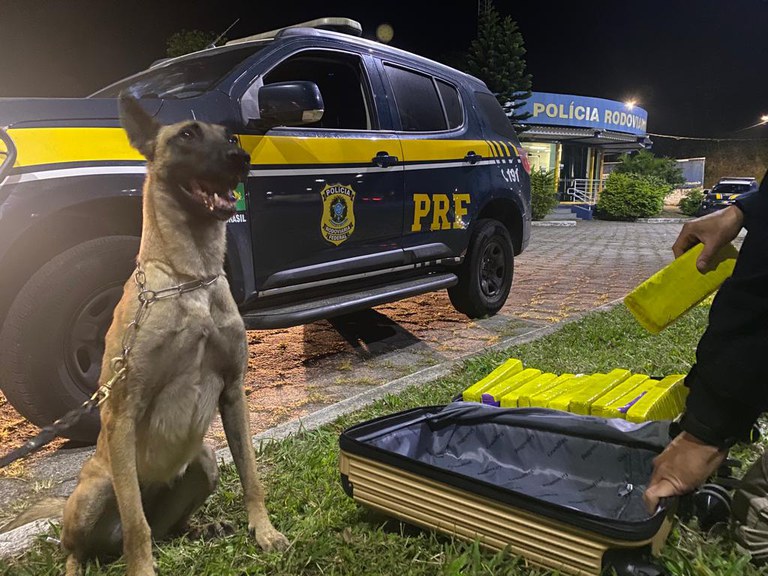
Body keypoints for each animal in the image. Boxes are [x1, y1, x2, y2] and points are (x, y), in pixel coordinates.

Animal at [57, 97, 286, 572]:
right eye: (187, 135)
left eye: (231, 135)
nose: (241, 158)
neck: (191, 278)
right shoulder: (122, 412)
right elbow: (136, 525)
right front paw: (142, 569)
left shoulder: (233, 393)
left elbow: (251, 476)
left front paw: (265, 531)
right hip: (95, 491)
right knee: (87, 543)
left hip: (205, 461)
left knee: (165, 526)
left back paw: (199, 527)